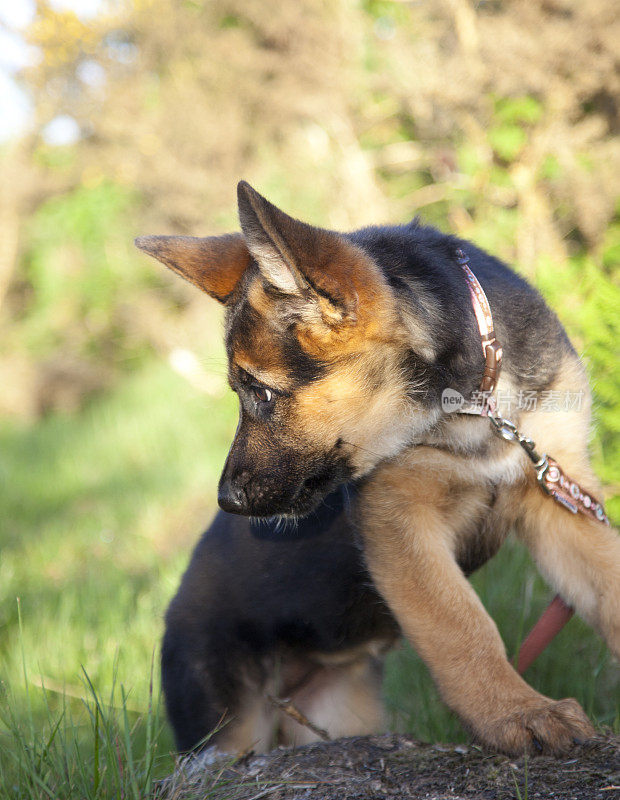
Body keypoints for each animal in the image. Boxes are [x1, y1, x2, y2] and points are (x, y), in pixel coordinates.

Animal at [137, 180, 620, 756]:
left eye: (261, 393)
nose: (226, 501)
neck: (474, 403)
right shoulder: (400, 523)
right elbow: (463, 626)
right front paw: (517, 714)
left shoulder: (558, 498)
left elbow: (608, 584)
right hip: (228, 728)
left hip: (340, 714)